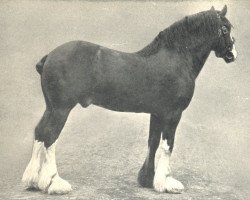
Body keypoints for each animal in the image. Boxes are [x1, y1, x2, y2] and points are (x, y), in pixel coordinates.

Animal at [21, 5, 236, 195]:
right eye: (225, 28)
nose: (232, 54)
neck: (177, 57)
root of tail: (49, 56)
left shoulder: (157, 113)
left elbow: (153, 142)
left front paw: (148, 180)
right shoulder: (173, 114)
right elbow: (167, 145)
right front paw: (166, 183)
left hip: (51, 107)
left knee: (40, 132)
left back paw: (33, 181)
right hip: (61, 109)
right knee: (50, 136)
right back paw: (54, 183)